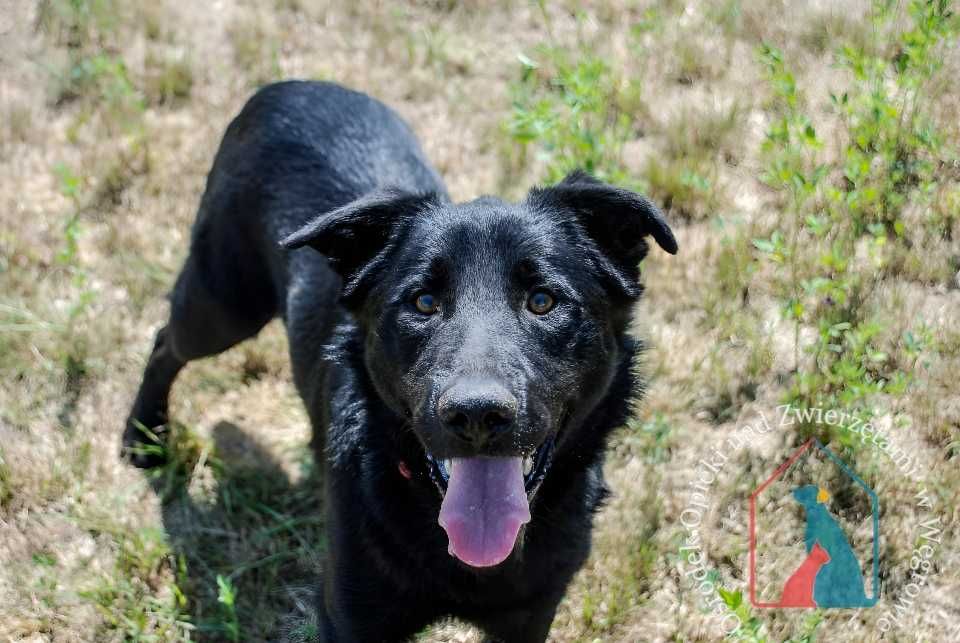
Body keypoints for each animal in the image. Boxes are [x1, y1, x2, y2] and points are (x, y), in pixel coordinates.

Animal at [125, 82, 676, 643]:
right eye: (423, 303)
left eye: (542, 301)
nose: (477, 415)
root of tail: (288, 84)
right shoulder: (349, 617)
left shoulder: (532, 614)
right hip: (224, 305)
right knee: (165, 340)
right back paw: (143, 435)